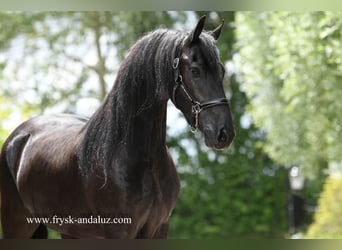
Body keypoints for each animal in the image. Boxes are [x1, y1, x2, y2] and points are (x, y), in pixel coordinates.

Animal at [0, 15, 235, 238]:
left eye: (221, 71)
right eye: (195, 71)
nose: (224, 133)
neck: (142, 159)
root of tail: (17, 138)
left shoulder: (159, 228)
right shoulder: (119, 230)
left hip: (73, 231)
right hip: (18, 224)